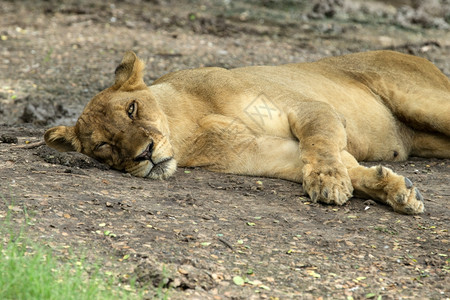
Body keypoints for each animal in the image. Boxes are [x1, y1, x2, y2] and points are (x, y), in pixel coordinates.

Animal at [44, 51, 448, 213]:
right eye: (103, 145)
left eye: (132, 109)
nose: (144, 153)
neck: (186, 128)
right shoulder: (267, 152)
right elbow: (340, 165)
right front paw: (396, 190)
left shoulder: (311, 108)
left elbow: (321, 147)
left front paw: (329, 183)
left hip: (424, 103)